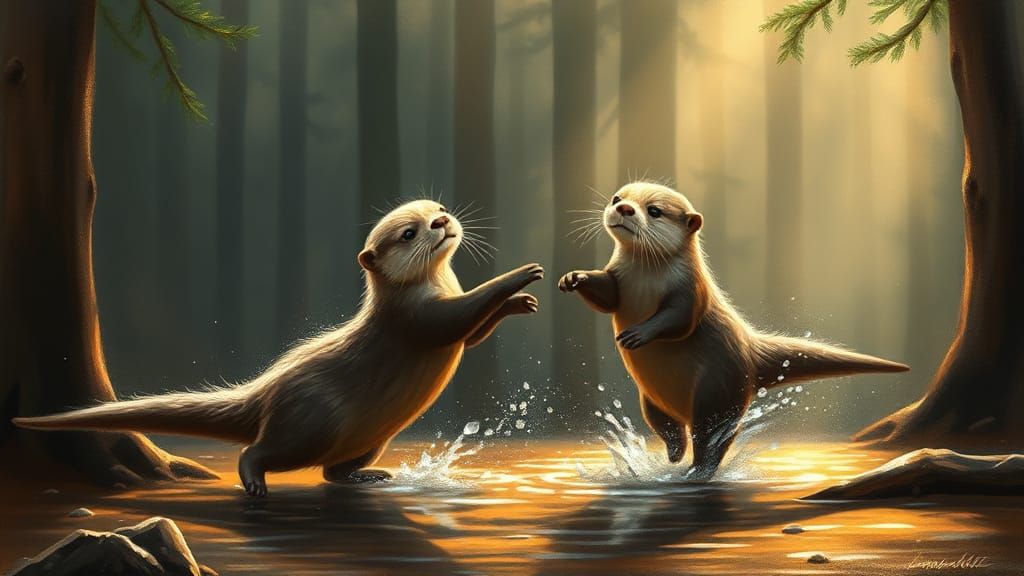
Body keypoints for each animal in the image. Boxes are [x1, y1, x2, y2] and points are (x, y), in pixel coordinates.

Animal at [15, 199, 544, 496]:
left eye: (437, 207)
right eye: (409, 232)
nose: (442, 220)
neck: (429, 285)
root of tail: (264, 392)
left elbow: (471, 333)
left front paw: (519, 302)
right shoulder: (413, 318)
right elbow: (456, 320)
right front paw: (520, 275)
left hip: (370, 437)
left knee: (333, 472)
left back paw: (368, 478)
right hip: (312, 421)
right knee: (260, 451)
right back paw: (253, 482)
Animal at [559, 182, 908, 479]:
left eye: (654, 210)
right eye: (618, 197)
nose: (624, 208)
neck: (646, 277)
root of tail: (752, 350)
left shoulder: (692, 290)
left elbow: (679, 320)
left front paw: (639, 333)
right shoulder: (618, 277)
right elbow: (607, 296)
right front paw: (574, 277)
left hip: (719, 389)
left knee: (710, 436)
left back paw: (696, 473)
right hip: (651, 399)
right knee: (670, 427)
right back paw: (674, 456)